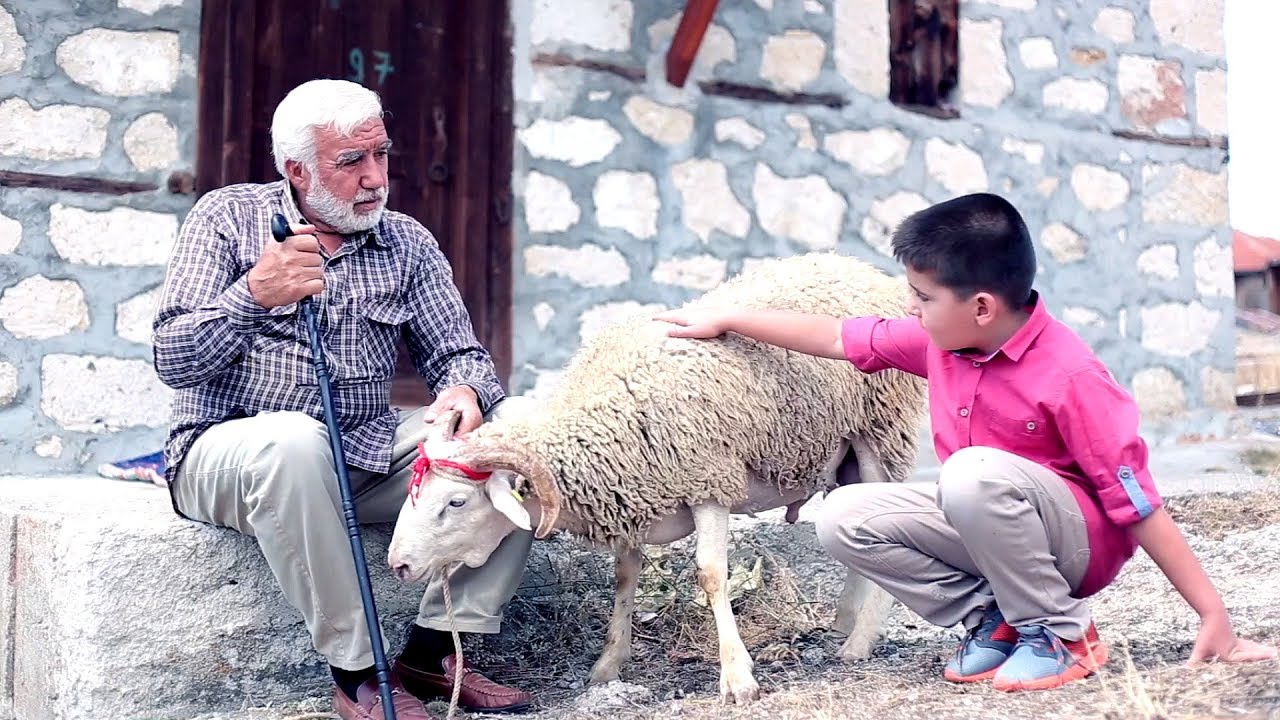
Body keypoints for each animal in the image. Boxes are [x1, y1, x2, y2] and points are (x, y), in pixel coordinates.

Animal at [384, 251, 926, 702]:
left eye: (456, 503)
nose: (398, 565)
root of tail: (857, 267)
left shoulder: (710, 481)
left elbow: (711, 575)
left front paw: (737, 678)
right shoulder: (631, 494)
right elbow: (625, 578)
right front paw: (608, 665)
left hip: (880, 431)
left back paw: (860, 640)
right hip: (843, 456)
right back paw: (846, 621)